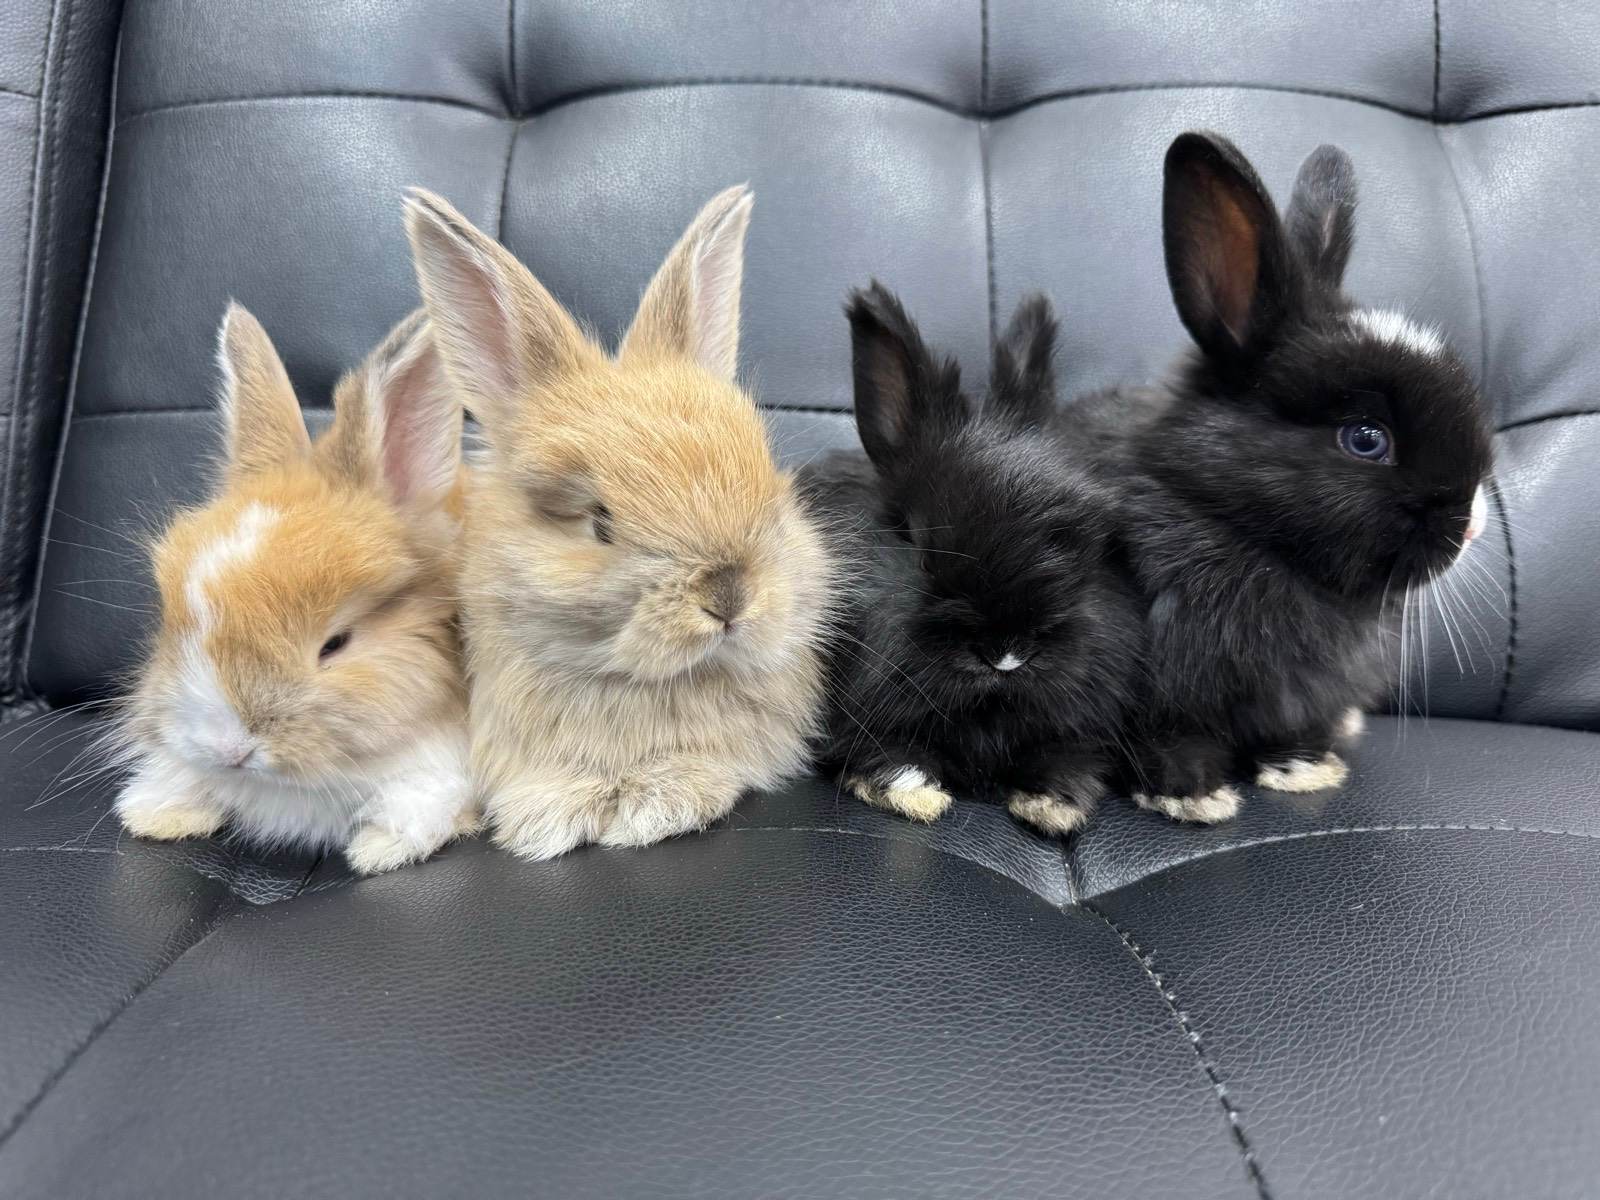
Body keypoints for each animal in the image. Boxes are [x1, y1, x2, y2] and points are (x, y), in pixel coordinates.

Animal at [113, 303, 478, 874]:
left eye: (335, 644)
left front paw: (379, 849)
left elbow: (424, 800)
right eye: (176, 625)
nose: (229, 749)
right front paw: (155, 815)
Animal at [800, 283, 1143, 838]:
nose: (1006, 654)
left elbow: (1067, 755)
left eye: (1086, 546)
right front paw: (919, 796)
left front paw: (1053, 805)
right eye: (919, 548)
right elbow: (890, 755)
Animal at [1065, 131, 1493, 823]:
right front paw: (1193, 795)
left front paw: (1304, 769)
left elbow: (1292, 729)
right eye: (1366, 439)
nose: (1476, 523)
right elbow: (1169, 739)